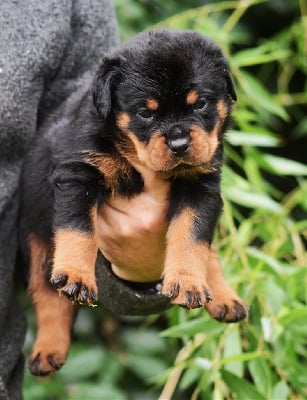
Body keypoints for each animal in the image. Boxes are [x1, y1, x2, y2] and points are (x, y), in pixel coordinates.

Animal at [19, 28, 249, 376]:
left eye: (201, 104)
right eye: (145, 112)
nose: (179, 143)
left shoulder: (202, 186)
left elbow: (191, 238)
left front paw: (187, 282)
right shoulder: (78, 173)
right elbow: (79, 231)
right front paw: (77, 275)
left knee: (208, 253)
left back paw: (224, 297)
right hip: (38, 235)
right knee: (48, 295)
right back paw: (48, 350)